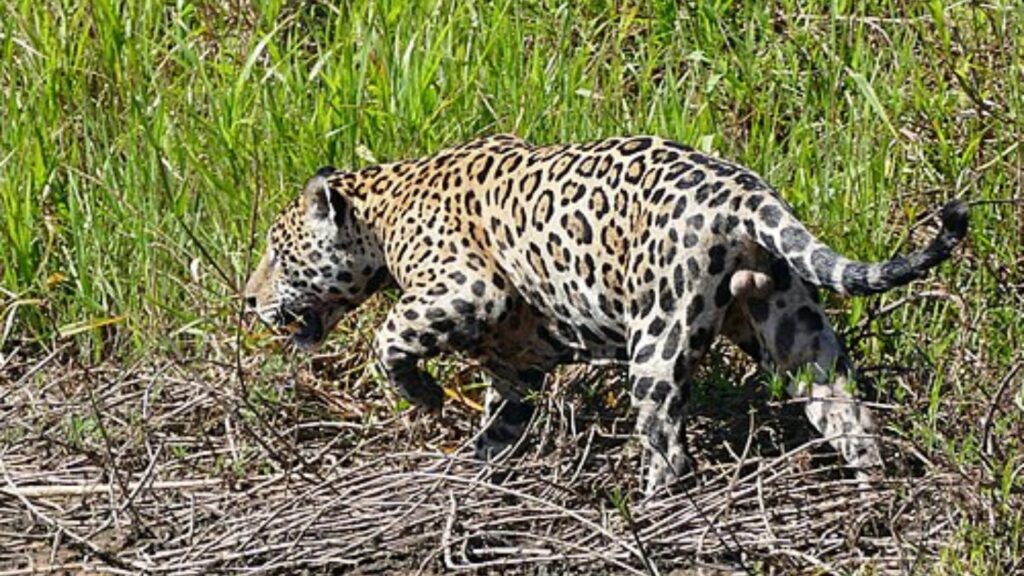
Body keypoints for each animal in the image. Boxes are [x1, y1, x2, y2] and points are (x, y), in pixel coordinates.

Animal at [244, 134, 968, 495]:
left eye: (277, 253)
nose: (248, 301)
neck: (383, 207)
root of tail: (745, 191)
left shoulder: (467, 289)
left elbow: (388, 336)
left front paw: (423, 395)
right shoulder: (516, 368)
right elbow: (494, 434)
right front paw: (471, 480)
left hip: (657, 340)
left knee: (671, 453)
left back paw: (652, 515)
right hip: (793, 329)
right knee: (850, 417)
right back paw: (874, 503)